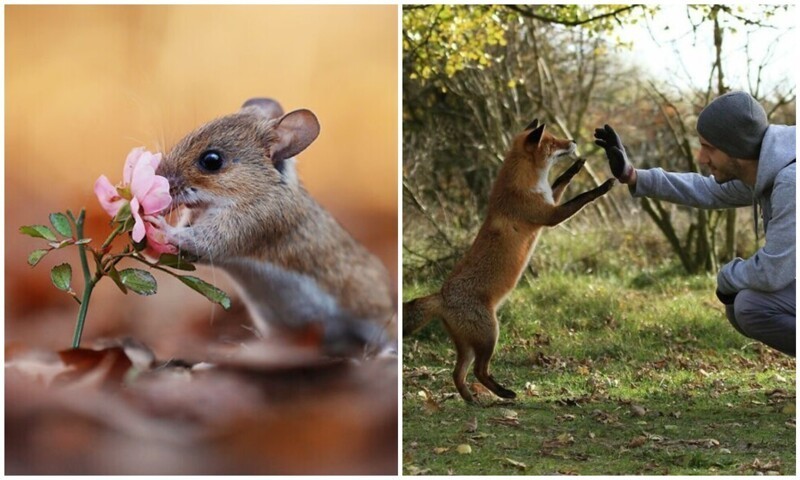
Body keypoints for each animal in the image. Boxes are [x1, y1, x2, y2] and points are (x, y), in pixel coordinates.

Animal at [404, 119, 616, 402]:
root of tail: (441, 296)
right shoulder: (550, 215)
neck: (523, 184)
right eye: (552, 142)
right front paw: (602, 187)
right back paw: (504, 393)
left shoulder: (549, 201)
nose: (572, 141)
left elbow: (560, 180)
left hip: (470, 345)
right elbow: (582, 198)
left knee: (457, 373)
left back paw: (472, 399)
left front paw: (575, 167)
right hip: (490, 335)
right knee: (479, 371)